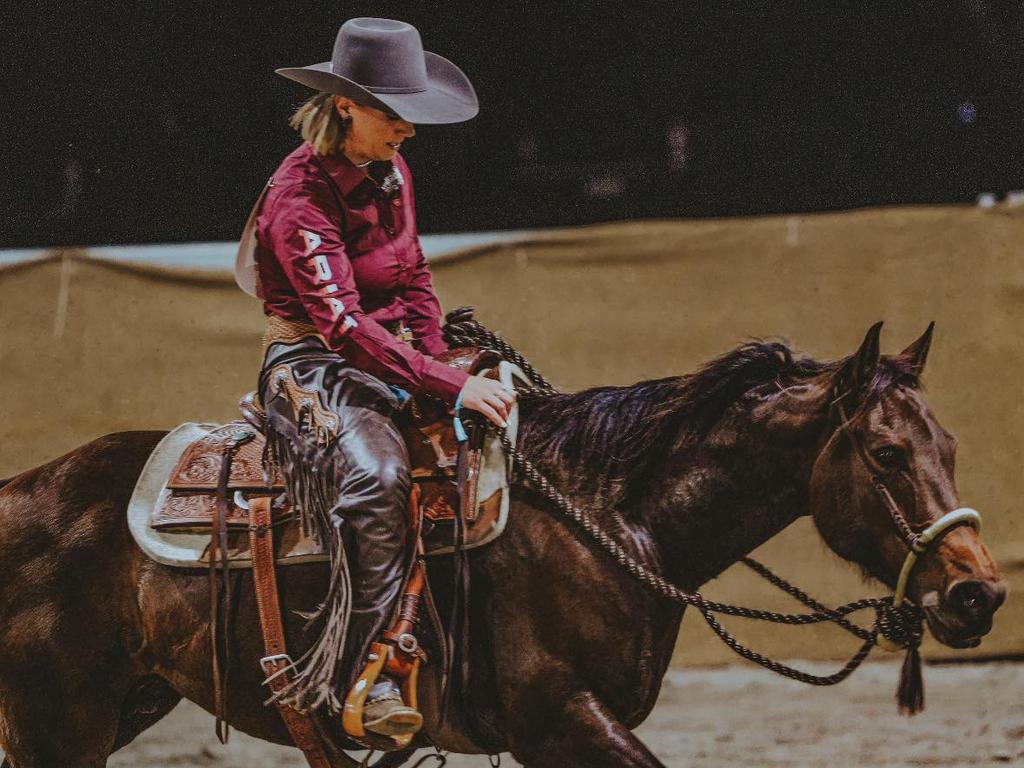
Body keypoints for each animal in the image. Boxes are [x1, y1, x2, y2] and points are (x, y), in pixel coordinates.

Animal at [0, 325, 1003, 768]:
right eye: (886, 453)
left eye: (951, 446)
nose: (979, 594)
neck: (612, 517)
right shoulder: (559, 719)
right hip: (59, 726)